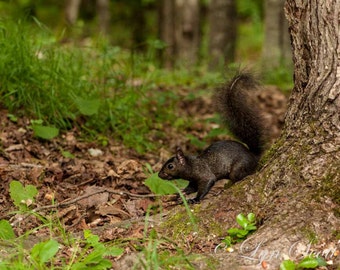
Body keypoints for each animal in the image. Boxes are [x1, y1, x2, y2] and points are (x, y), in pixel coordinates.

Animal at [158, 73, 266, 204]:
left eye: (170, 166)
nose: (159, 175)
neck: (192, 166)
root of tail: (253, 155)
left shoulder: (205, 175)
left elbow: (206, 184)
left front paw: (195, 199)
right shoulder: (193, 180)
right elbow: (192, 187)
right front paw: (182, 192)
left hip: (238, 168)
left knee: (238, 178)